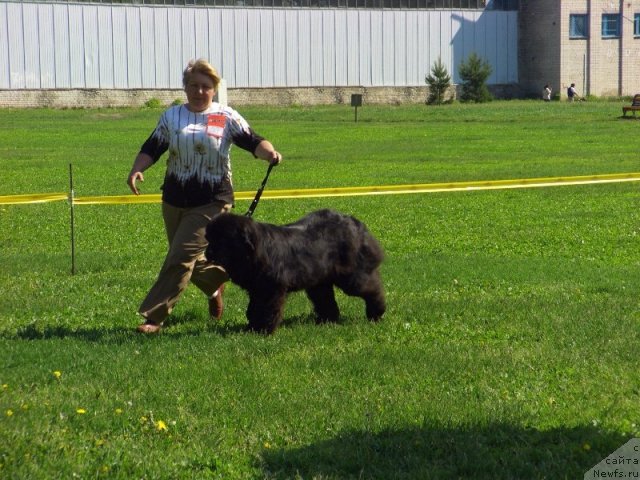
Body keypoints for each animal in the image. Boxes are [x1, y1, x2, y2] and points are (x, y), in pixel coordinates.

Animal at [205, 210, 384, 334]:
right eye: (209, 238)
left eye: (222, 239)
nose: (207, 252)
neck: (251, 252)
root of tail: (355, 222)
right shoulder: (257, 289)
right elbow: (253, 308)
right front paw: (252, 328)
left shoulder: (271, 289)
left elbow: (267, 308)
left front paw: (264, 330)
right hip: (319, 281)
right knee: (325, 299)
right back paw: (326, 321)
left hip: (350, 276)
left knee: (372, 287)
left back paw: (377, 313)